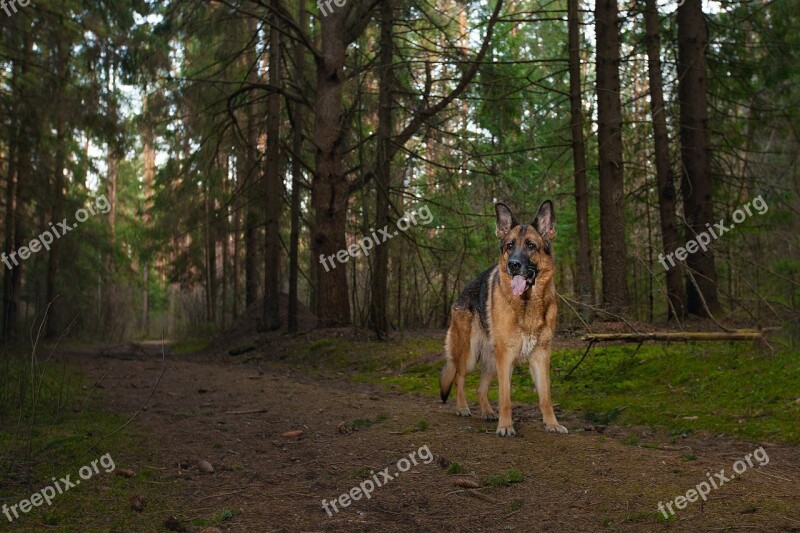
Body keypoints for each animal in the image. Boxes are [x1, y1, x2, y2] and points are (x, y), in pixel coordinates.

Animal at [440, 202, 564, 434]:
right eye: (509, 246)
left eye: (531, 246)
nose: (513, 265)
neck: (527, 304)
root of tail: (462, 293)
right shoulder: (506, 357)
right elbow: (505, 398)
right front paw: (506, 426)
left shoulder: (540, 356)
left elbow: (546, 397)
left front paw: (552, 423)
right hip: (470, 355)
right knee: (459, 377)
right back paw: (462, 408)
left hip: (490, 359)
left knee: (480, 389)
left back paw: (488, 412)